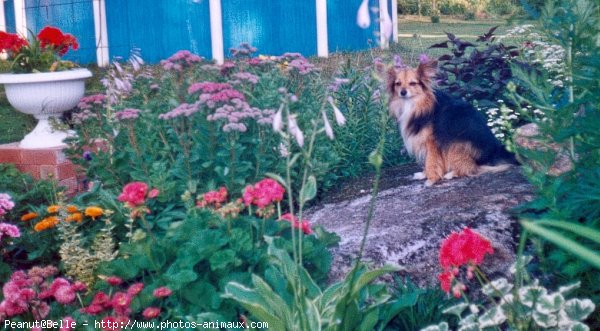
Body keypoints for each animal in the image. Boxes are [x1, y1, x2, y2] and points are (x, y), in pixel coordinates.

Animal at [386, 60, 516, 187]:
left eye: (413, 83)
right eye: (398, 84)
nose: (403, 92)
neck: (416, 103)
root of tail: (496, 152)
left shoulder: (432, 141)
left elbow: (431, 161)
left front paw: (431, 179)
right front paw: (424, 175)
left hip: (457, 144)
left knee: (472, 168)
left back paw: (452, 173)